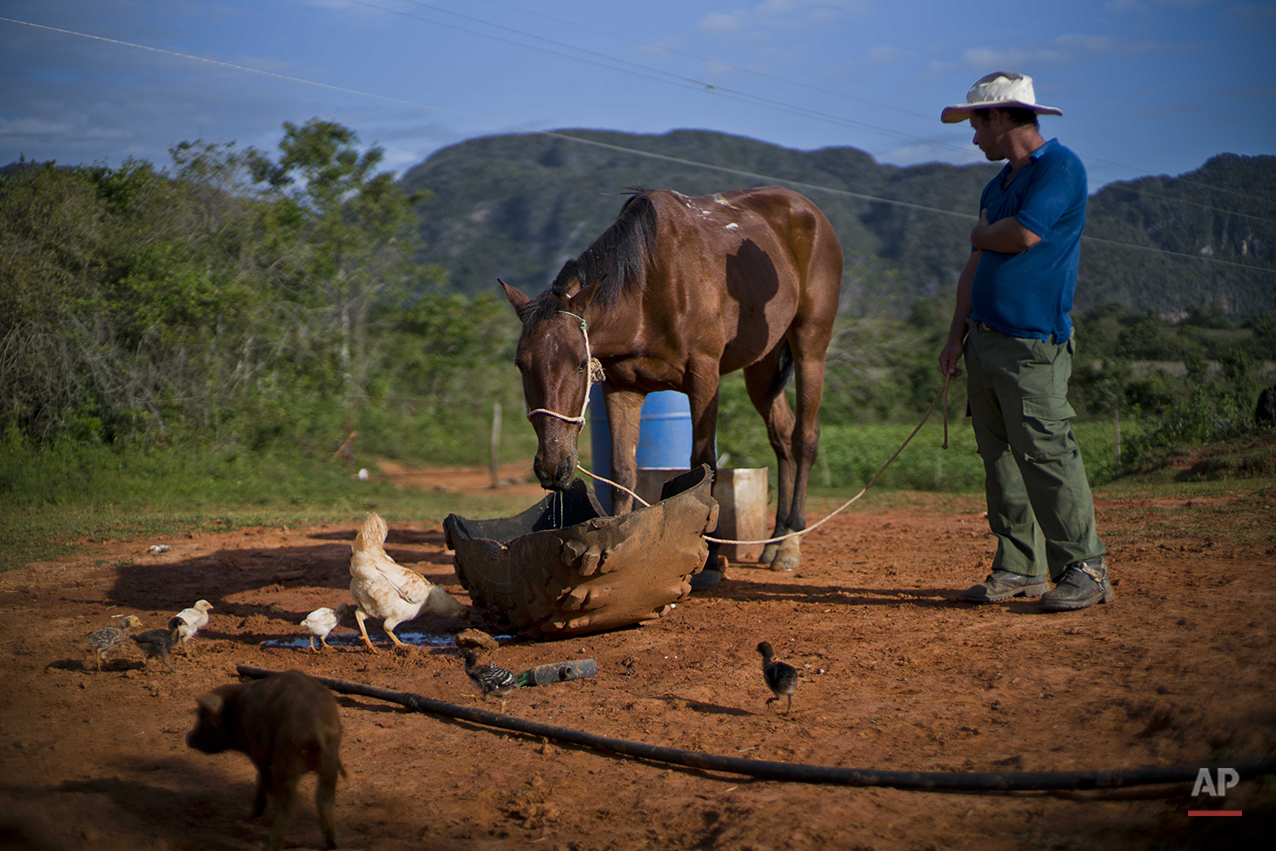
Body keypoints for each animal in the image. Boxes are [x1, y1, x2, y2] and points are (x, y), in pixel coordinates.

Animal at [185, 673, 344, 851]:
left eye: (202, 716)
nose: (188, 738)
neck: (237, 710)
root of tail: (315, 724)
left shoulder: (260, 755)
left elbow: (262, 780)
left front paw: (251, 814)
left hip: (285, 764)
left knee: (287, 805)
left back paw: (271, 845)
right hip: (330, 765)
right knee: (324, 799)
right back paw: (333, 844)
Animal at [502, 186, 842, 571]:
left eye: (580, 363)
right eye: (521, 365)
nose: (552, 468)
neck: (649, 289)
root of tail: (809, 211)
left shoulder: (704, 376)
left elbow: (704, 462)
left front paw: (710, 558)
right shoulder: (622, 389)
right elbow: (622, 470)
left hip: (811, 343)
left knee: (804, 438)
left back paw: (790, 543)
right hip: (762, 367)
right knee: (782, 436)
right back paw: (775, 540)